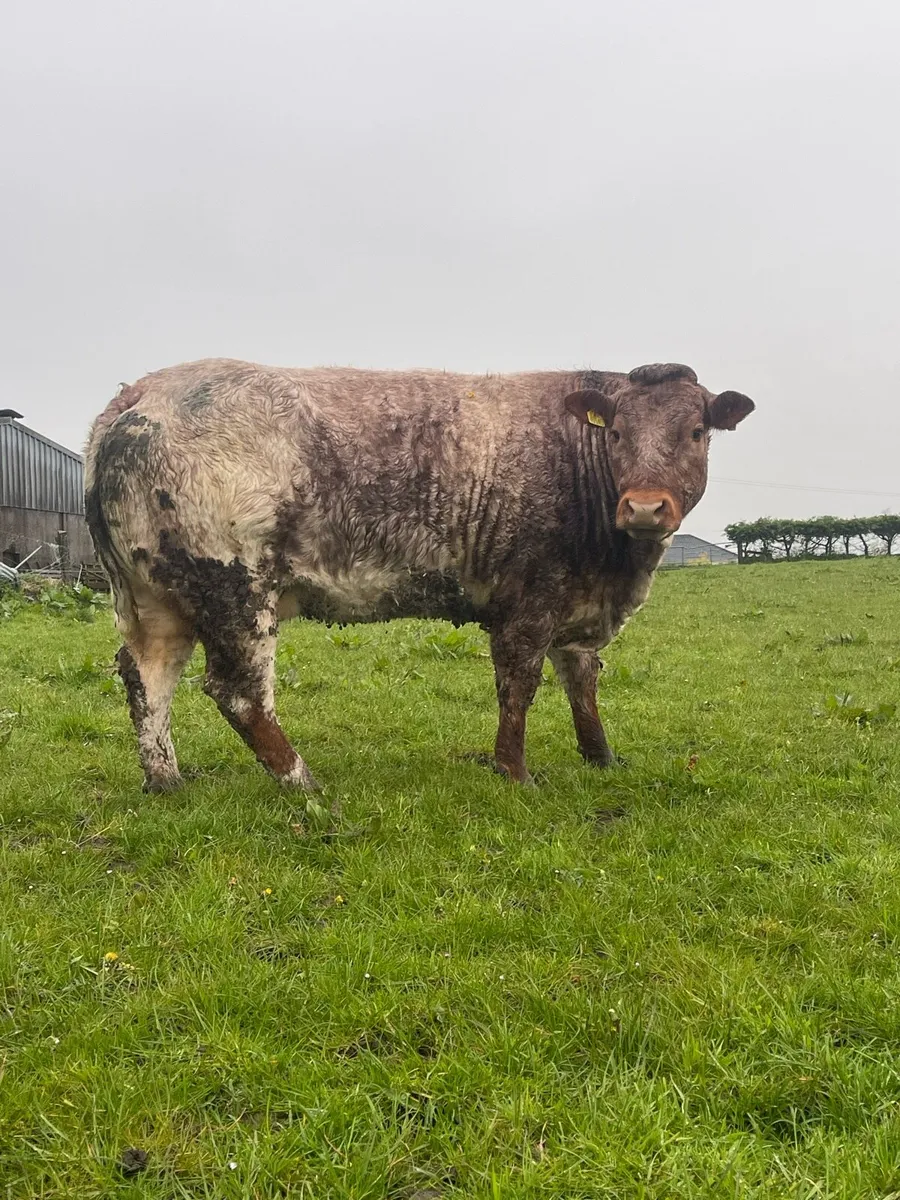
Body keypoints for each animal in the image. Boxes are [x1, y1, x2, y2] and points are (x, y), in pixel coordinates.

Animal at [85, 359, 754, 793]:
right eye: (615, 432)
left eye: (696, 431)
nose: (643, 507)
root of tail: (141, 391)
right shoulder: (530, 600)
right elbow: (520, 685)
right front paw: (515, 774)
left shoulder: (577, 603)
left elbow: (582, 682)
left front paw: (602, 759)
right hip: (235, 587)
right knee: (239, 692)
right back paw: (304, 783)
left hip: (154, 595)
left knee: (146, 676)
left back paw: (166, 781)